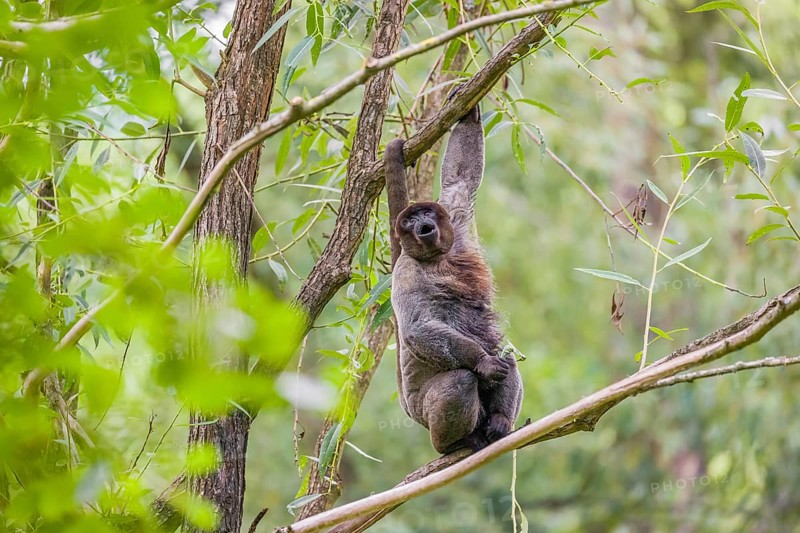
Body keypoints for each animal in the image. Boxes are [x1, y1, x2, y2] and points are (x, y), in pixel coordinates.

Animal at [384, 104, 523, 454]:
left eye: (426, 214)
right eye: (409, 221)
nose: (421, 224)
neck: (436, 257)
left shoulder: (455, 217)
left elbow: (459, 179)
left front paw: (468, 110)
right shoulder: (404, 271)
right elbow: (417, 327)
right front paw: (483, 362)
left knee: (508, 355)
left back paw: (500, 422)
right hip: (426, 412)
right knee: (461, 378)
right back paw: (455, 443)